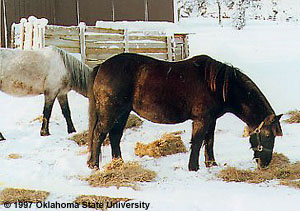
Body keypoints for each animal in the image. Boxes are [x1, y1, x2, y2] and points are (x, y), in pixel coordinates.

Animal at [88, 53, 282, 171]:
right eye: (267, 135)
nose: (265, 163)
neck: (218, 86)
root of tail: (102, 66)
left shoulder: (211, 120)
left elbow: (209, 141)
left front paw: (211, 164)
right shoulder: (201, 120)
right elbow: (197, 142)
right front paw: (193, 167)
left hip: (122, 113)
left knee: (114, 136)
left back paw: (118, 163)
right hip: (111, 112)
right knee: (99, 134)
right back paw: (94, 165)